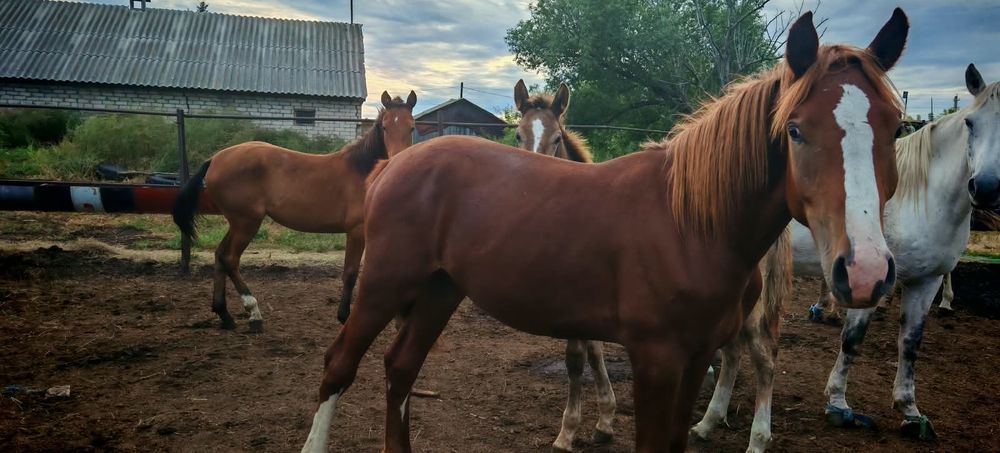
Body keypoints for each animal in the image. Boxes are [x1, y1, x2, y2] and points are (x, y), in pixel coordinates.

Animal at [171, 91, 417, 332]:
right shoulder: (357, 230)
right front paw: (344, 317)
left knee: (220, 255)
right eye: (384, 126)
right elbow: (351, 272)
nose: (398, 160)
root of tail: (214, 159)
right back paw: (254, 313)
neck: (365, 172)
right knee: (229, 258)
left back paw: (225, 315)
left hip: (238, 223)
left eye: (412, 127)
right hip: (246, 223)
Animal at [511, 79, 617, 452]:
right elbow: (594, 351)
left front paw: (567, 432)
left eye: (557, 138)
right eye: (518, 134)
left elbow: (575, 359)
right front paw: (604, 421)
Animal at [693, 63, 1000, 449]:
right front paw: (838, 403)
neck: (924, 194)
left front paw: (909, 409)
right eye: (971, 123)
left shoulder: (924, 281)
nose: (986, 188)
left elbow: (911, 343)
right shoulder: (870, 281)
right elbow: (852, 340)